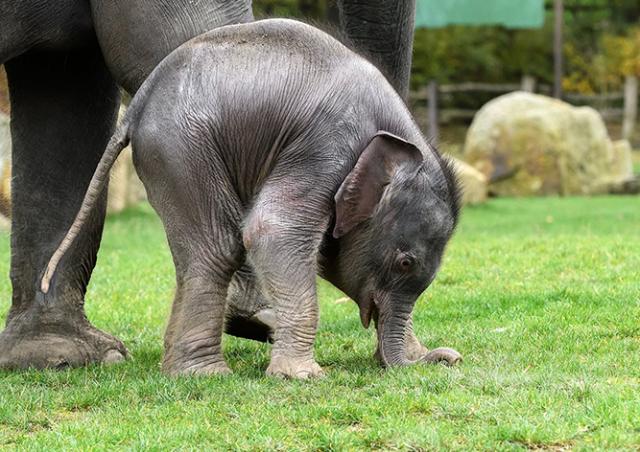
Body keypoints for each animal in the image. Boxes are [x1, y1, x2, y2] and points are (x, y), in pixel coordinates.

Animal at [0, 0, 422, 370]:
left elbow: (65, 97)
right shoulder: (323, 147)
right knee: (218, 244)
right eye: (404, 263)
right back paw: (207, 368)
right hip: (181, 144)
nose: (415, 359)